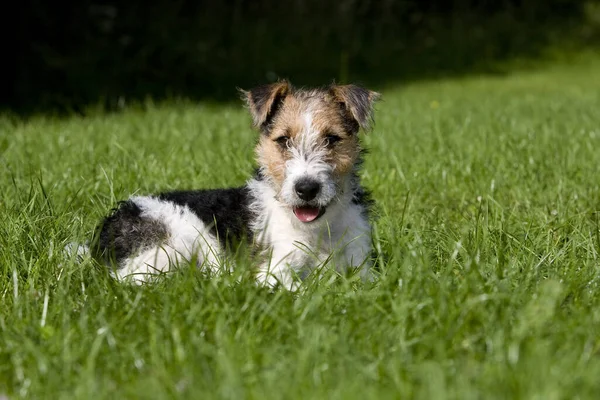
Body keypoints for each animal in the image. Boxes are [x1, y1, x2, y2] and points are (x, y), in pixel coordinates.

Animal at [90, 79, 380, 290]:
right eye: (283, 140)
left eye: (331, 139)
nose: (306, 189)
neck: (320, 229)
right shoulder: (273, 271)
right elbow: (301, 290)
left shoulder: (360, 264)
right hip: (174, 243)